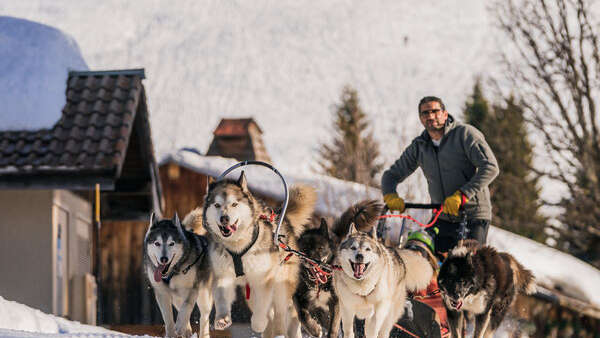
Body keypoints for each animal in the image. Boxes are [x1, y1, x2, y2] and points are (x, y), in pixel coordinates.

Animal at [198, 173, 316, 336]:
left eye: (234, 204)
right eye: (217, 205)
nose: (224, 218)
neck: (238, 247)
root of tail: (283, 219)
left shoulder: (263, 279)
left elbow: (262, 308)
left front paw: (258, 324)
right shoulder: (223, 275)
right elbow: (222, 296)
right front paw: (222, 319)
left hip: (281, 285)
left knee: (279, 313)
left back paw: (278, 332)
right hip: (250, 293)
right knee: (270, 314)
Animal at [332, 201, 436, 338]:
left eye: (368, 249)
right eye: (353, 248)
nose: (359, 256)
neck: (362, 288)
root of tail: (396, 252)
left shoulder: (377, 312)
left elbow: (372, 331)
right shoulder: (347, 309)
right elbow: (349, 331)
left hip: (388, 317)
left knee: (382, 331)